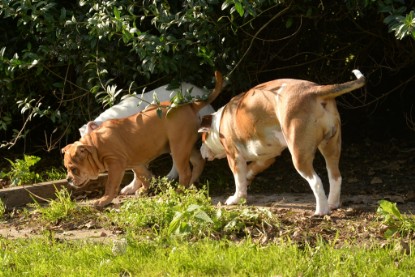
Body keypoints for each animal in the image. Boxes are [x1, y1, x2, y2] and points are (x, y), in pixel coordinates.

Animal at [62, 72, 223, 206]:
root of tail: (197, 98)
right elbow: (140, 171)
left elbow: (135, 173)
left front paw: (132, 187)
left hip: (177, 144)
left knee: (180, 164)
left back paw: (173, 179)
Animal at [200, 68, 366, 213]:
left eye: (202, 138)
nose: (201, 150)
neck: (219, 123)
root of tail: (315, 90)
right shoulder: (266, 158)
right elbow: (250, 169)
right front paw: (247, 180)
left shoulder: (234, 157)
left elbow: (238, 181)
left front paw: (236, 198)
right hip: (331, 146)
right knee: (335, 176)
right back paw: (332, 203)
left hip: (299, 155)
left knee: (316, 181)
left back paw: (321, 211)